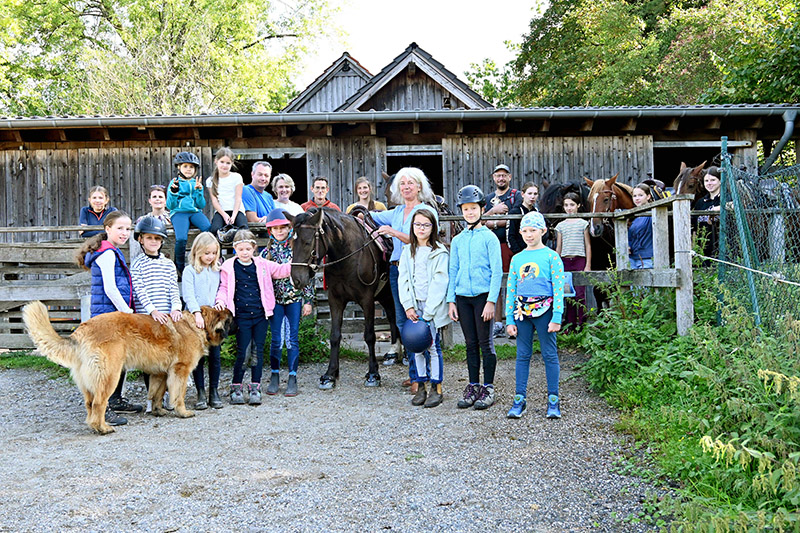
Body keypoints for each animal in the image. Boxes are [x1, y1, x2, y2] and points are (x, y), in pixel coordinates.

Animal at [21, 302, 233, 434]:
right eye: (229, 320)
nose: (237, 322)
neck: (197, 325)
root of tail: (81, 330)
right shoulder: (180, 370)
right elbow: (178, 394)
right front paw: (182, 412)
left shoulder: (160, 373)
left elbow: (156, 394)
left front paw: (158, 410)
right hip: (110, 375)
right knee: (99, 403)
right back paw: (103, 428)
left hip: (90, 382)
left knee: (90, 404)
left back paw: (94, 425)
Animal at [290, 207, 398, 386]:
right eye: (292, 243)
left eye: (308, 242)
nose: (297, 279)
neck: (348, 256)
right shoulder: (335, 300)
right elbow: (335, 336)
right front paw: (330, 375)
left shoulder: (367, 300)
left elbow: (370, 336)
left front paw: (373, 374)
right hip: (386, 296)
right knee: (393, 317)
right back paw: (394, 354)